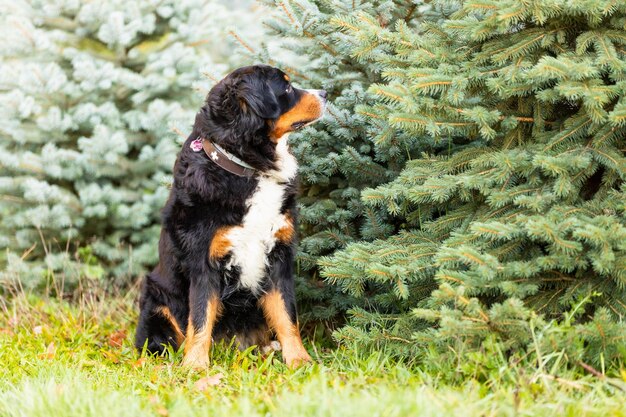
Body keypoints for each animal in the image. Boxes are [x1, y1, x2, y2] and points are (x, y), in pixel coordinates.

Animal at [133, 63, 324, 366]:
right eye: (286, 87)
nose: (325, 93)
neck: (247, 168)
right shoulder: (203, 260)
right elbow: (200, 317)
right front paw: (195, 366)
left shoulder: (279, 255)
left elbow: (287, 315)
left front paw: (299, 360)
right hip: (157, 299)